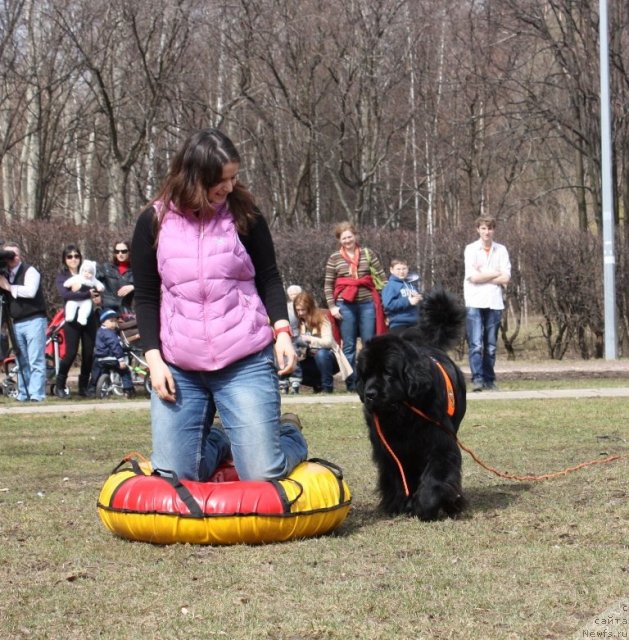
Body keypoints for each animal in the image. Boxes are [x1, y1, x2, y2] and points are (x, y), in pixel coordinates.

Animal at [356, 288, 464, 524]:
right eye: (366, 374)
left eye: (388, 373)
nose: (370, 394)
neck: (404, 415)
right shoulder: (389, 449)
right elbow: (395, 477)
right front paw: (398, 505)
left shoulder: (439, 443)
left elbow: (435, 479)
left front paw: (424, 506)